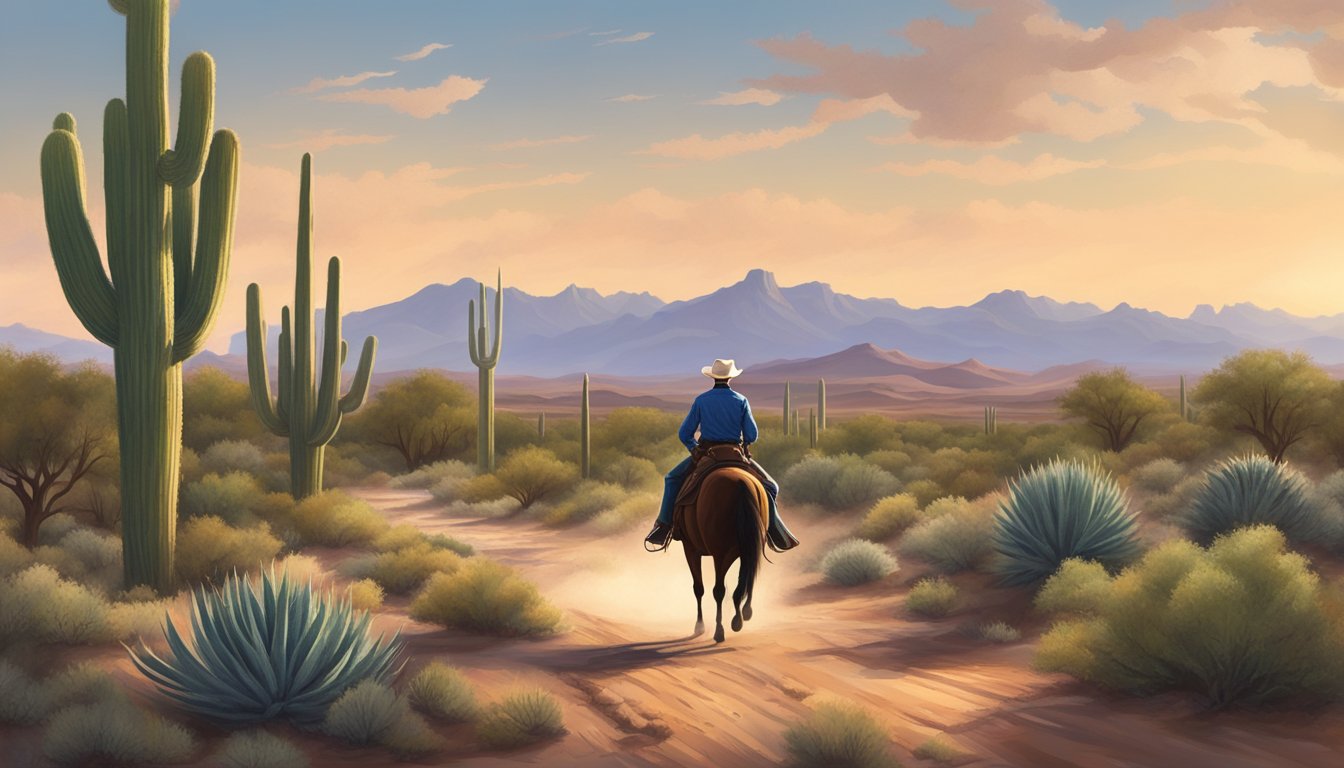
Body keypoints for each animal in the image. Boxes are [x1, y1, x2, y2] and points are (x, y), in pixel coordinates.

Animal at [672, 465, 768, 645]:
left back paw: (719, 631)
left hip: (720, 553)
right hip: (750, 546)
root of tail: (740, 482)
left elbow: (698, 588)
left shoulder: (690, 548)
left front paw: (699, 626)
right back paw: (741, 616)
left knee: (719, 590)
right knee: (747, 579)